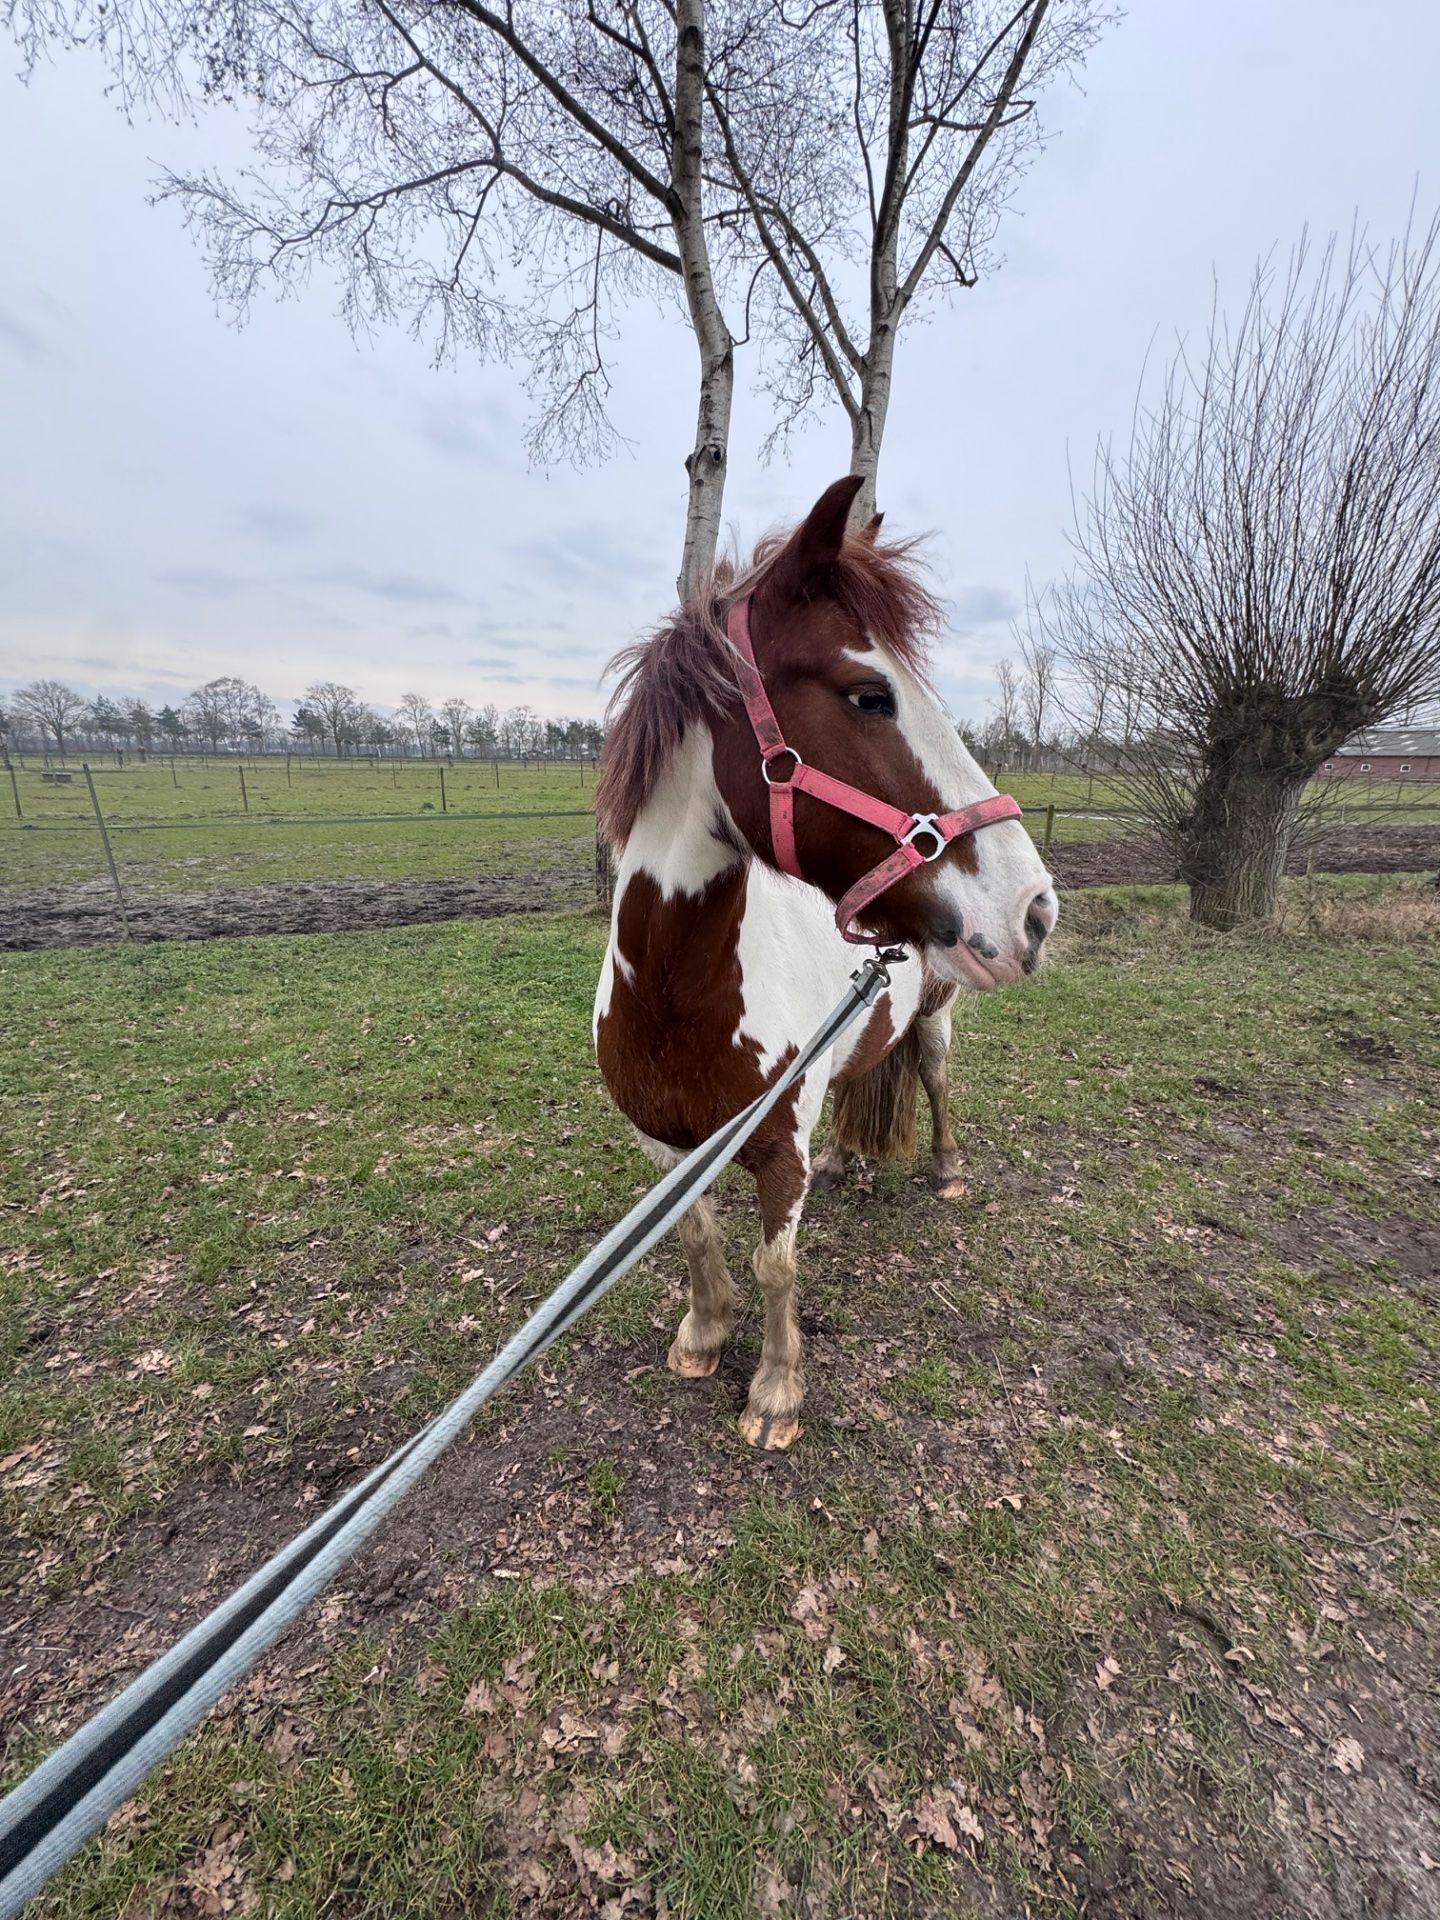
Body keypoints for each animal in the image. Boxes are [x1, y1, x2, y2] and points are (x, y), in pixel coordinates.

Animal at [593, 476, 1057, 1449]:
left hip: (938, 1015)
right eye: (869, 695)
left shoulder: (778, 1155)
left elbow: (775, 1265)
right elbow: (697, 1235)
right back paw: (848, 1163)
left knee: (933, 1078)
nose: (1035, 909)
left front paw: (776, 1391)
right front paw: (702, 1335)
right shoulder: (661, 1145)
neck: (673, 1005)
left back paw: (946, 1170)